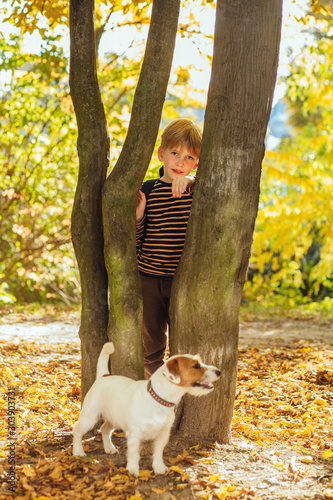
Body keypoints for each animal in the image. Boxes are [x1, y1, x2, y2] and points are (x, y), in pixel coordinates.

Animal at [73, 344, 220, 476]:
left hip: (114, 419)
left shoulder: (163, 435)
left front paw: (159, 468)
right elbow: (134, 454)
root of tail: (103, 376)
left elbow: (158, 453)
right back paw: (78, 452)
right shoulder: (135, 435)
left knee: (104, 429)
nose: (219, 372)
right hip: (89, 417)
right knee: (77, 431)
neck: (159, 400)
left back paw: (109, 448)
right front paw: (132, 470)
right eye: (196, 366)